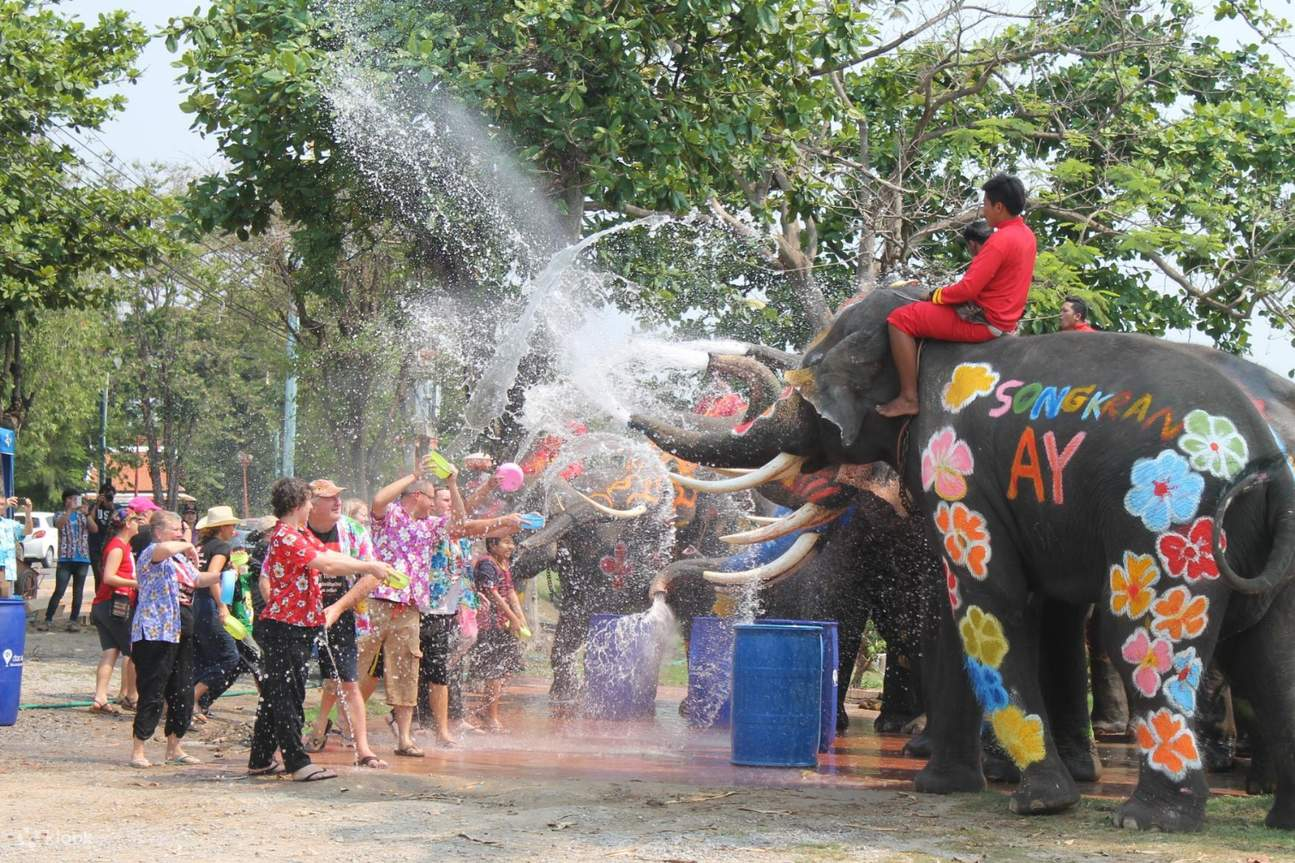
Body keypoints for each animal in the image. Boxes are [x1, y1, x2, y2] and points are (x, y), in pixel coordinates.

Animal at [631, 287, 1295, 829]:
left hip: (1172, 524)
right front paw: (941, 784)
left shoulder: (957, 471)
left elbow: (985, 600)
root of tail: (1266, 458)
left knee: (1146, 633)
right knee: (1269, 652)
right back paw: (1272, 816)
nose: (632, 411)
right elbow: (961, 614)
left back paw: (1147, 818)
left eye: (810, 383)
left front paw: (1035, 799)